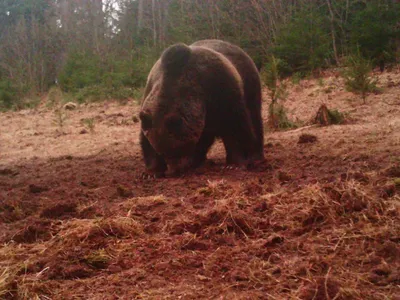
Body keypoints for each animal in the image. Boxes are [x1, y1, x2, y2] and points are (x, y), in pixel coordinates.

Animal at [139, 39, 264, 176]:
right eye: (162, 153)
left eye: (178, 149)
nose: (174, 171)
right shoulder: (150, 92)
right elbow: (146, 140)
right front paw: (151, 172)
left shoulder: (222, 89)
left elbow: (235, 127)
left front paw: (234, 164)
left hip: (250, 87)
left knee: (254, 119)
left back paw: (256, 157)